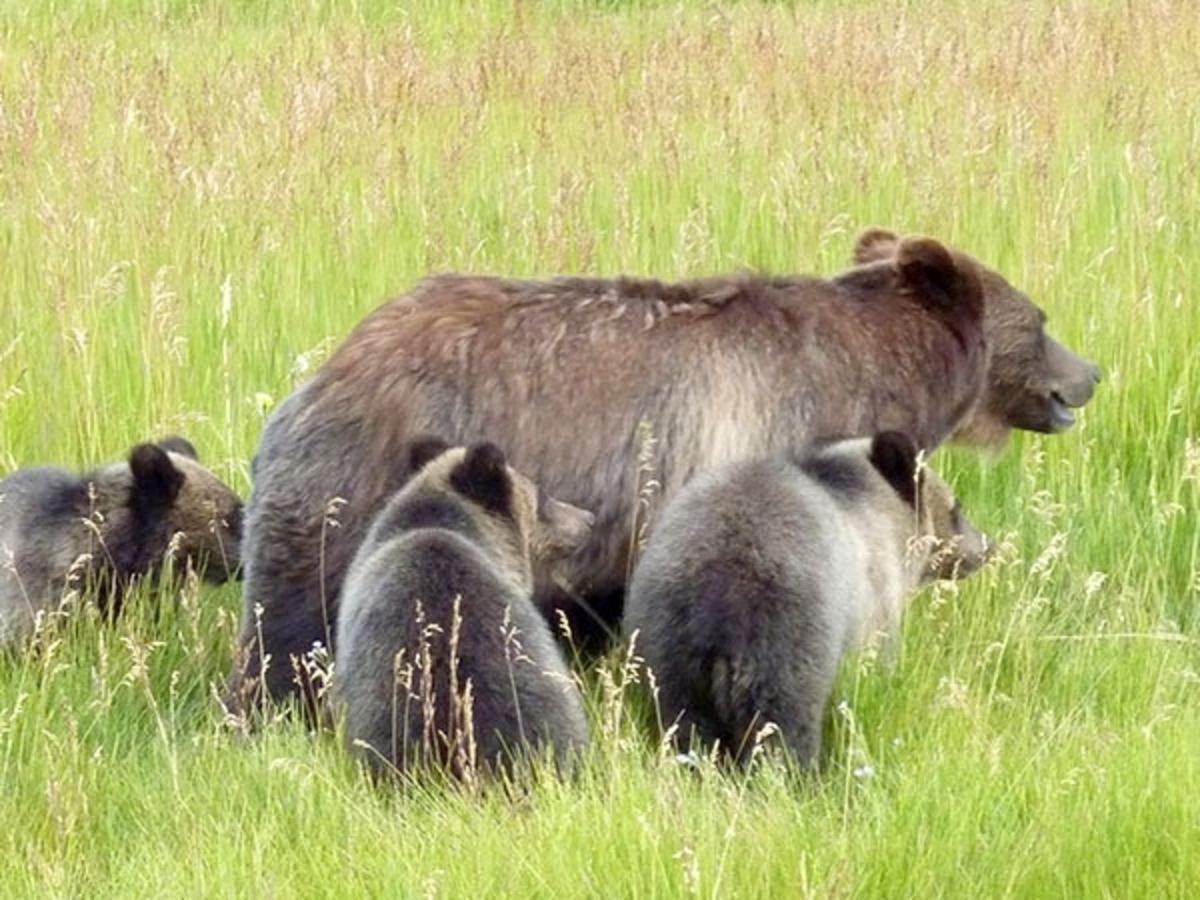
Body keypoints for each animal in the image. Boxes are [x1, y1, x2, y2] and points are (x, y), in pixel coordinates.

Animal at [225, 229, 1099, 715]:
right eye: (1042, 319)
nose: (1088, 374)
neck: (870, 374)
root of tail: (324, 372)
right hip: (347, 488)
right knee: (292, 624)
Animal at [624, 432, 988, 768]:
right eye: (957, 507)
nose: (987, 546)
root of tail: (717, 593)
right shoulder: (873, 605)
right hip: (788, 640)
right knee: (783, 726)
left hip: (668, 643)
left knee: (685, 723)